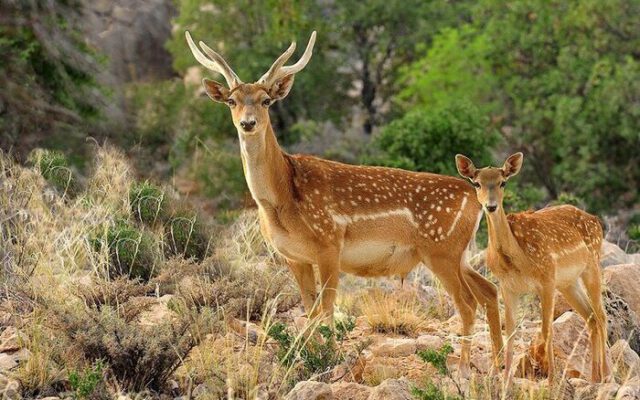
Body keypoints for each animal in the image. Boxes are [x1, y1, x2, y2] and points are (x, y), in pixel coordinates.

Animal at [185, 31, 504, 376]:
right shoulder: (293, 257)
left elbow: (325, 310)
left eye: (266, 100)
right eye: (232, 100)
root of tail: (474, 198)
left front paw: (330, 361)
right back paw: (498, 362)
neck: (281, 199)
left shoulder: (329, 244)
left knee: (467, 303)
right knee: (489, 290)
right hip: (458, 253)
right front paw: (309, 360)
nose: (248, 123)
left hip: (441, 249)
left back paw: (463, 367)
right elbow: (309, 310)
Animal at [456, 152, 608, 382]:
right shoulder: (508, 286)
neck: (518, 260)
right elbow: (510, 332)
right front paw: (506, 379)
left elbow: (547, 330)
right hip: (568, 282)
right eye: (476, 183)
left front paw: (552, 380)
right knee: (591, 317)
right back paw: (594, 377)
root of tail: (596, 220)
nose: (491, 206)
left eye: (503, 182)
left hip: (592, 266)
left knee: (601, 316)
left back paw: (609, 376)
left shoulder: (546, 279)